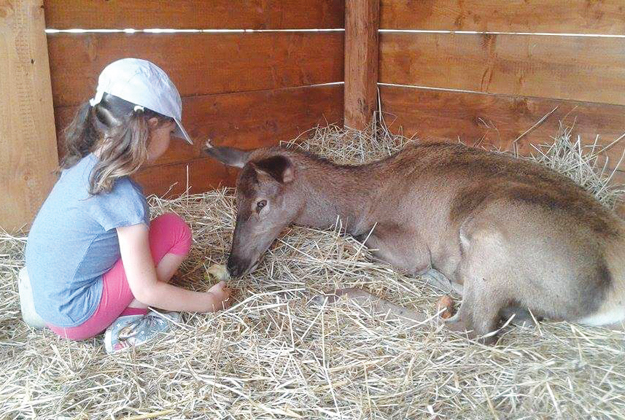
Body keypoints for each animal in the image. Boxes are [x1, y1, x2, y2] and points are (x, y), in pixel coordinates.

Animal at [205, 139, 624, 342]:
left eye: (260, 203)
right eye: (234, 200)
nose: (234, 265)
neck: (364, 200)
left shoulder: (405, 243)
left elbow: (391, 252)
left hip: (489, 240)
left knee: (470, 327)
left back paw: (337, 295)